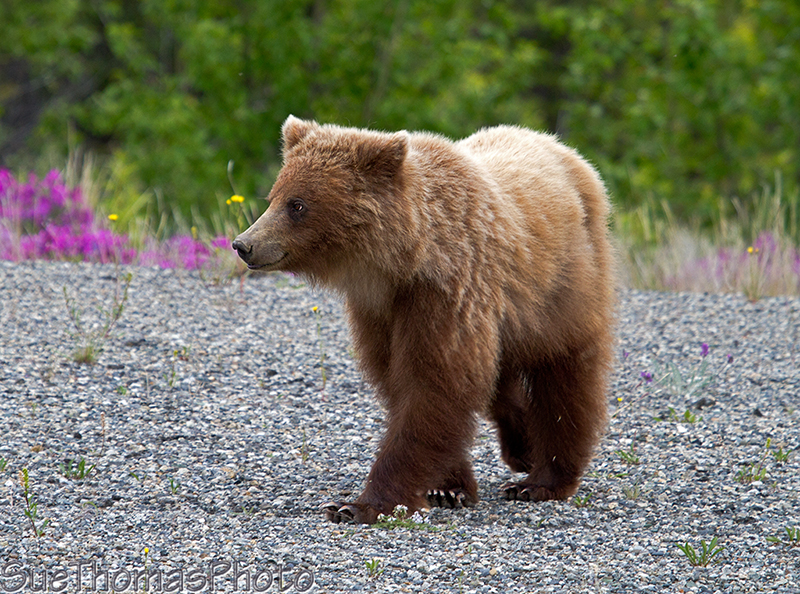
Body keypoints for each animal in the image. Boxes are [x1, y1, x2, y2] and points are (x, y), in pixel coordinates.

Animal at [232, 116, 615, 524]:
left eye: (297, 204)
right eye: (273, 196)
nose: (244, 244)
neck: (402, 264)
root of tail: (563, 149)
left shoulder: (447, 293)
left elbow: (433, 386)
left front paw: (359, 504)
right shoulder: (380, 312)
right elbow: (403, 384)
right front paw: (447, 487)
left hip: (563, 288)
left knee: (565, 377)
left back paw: (541, 479)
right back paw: (522, 444)